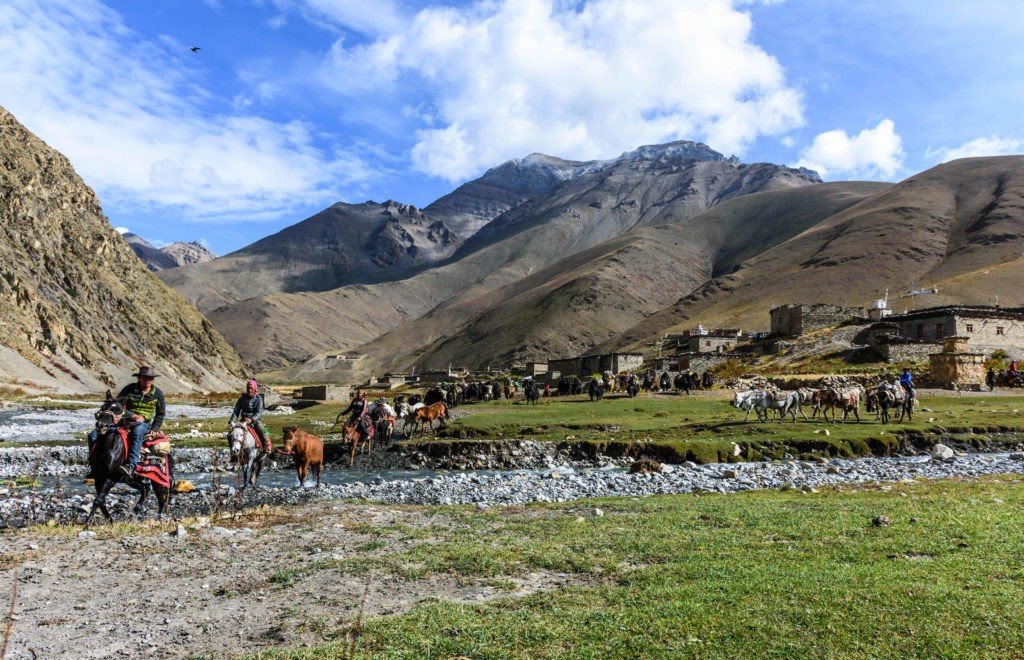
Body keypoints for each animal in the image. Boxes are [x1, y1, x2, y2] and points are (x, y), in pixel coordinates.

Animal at [84, 390, 172, 523]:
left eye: (118, 410)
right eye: (103, 407)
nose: (101, 426)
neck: (108, 448)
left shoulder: (111, 477)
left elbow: (98, 500)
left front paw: (88, 521)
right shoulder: (98, 477)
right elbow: (101, 501)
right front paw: (110, 521)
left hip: (157, 478)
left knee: (162, 498)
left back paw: (159, 518)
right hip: (131, 479)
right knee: (145, 489)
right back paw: (136, 510)